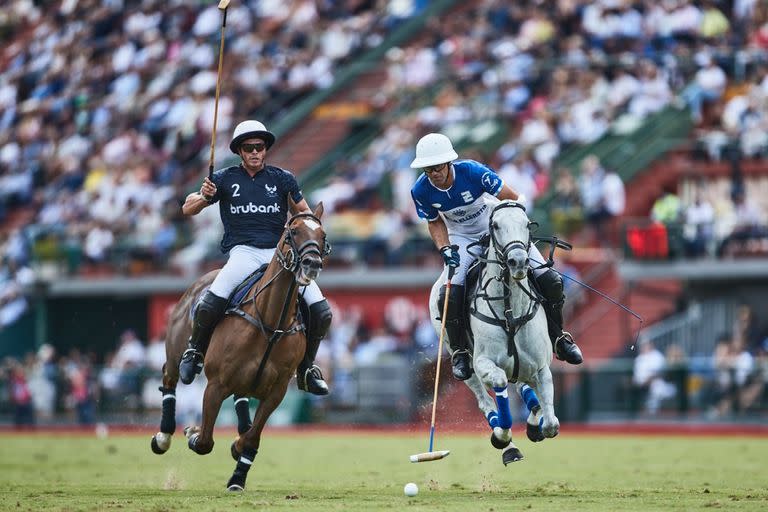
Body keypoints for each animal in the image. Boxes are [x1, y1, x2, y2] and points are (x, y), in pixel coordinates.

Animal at [152, 200, 328, 492]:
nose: (312, 263)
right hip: (177, 349)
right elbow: (205, 441)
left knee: (241, 399)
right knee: (170, 375)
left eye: (322, 235)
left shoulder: (277, 391)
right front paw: (192, 432)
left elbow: (252, 438)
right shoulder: (216, 384)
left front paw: (237, 474)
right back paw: (163, 436)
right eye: (293, 231)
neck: (271, 321)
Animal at [426, 202, 560, 466]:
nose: (518, 261)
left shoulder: (541, 367)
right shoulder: (483, 362)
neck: (510, 311)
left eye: (527, 224)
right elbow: (498, 387)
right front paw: (502, 437)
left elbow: (551, 424)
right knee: (484, 398)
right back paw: (507, 442)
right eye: (496, 225)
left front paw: (535, 425)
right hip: (462, 360)